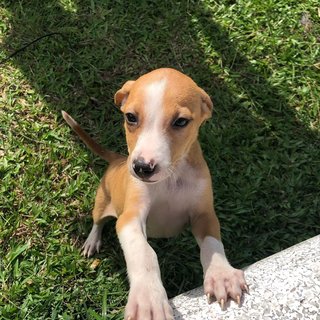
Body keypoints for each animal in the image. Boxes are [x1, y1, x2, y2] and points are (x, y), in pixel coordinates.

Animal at [62, 68, 248, 320]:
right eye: (130, 117)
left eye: (181, 121)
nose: (141, 167)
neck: (171, 178)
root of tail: (118, 160)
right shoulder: (131, 217)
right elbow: (143, 253)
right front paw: (148, 298)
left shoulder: (204, 214)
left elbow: (212, 243)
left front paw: (222, 275)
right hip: (101, 202)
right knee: (97, 222)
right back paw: (92, 240)